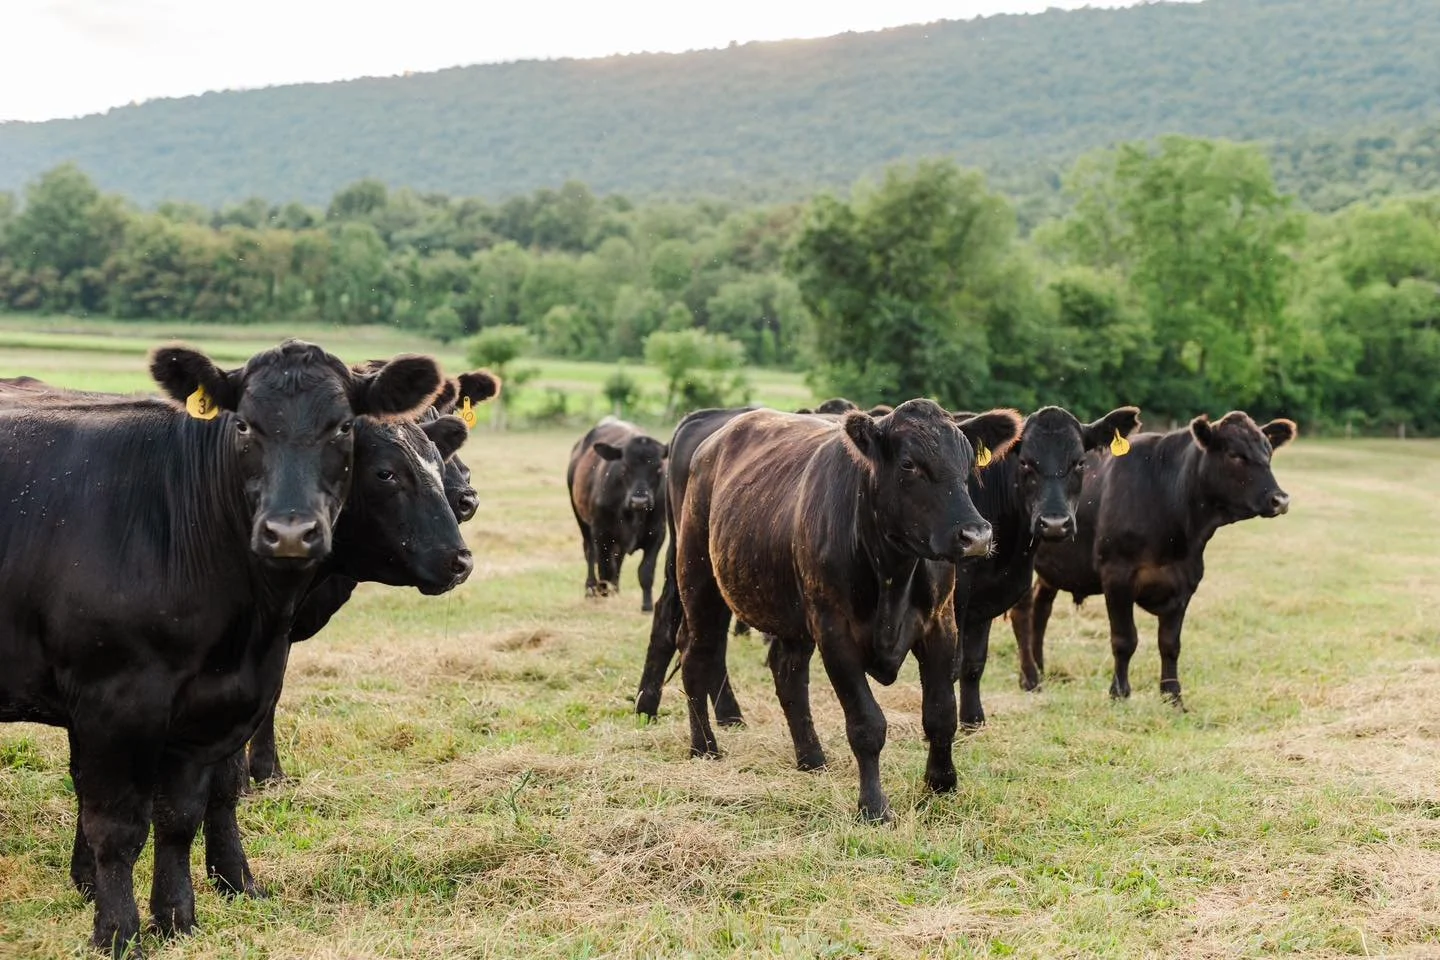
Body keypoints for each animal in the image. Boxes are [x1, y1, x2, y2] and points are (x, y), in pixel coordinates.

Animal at [0, 341, 444, 955]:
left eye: (343, 426)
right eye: (244, 426)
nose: (289, 533)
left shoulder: (216, 703)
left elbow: (182, 814)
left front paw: (179, 918)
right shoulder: (112, 698)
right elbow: (116, 824)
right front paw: (117, 932)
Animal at [567, 417, 667, 611]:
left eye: (659, 468)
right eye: (625, 467)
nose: (639, 501)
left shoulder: (657, 533)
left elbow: (646, 571)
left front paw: (647, 606)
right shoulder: (601, 532)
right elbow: (605, 566)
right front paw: (604, 596)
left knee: (617, 559)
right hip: (582, 520)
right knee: (590, 554)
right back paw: (591, 589)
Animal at [674, 401, 1021, 822]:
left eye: (968, 461)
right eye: (908, 464)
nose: (976, 536)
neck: (893, 570)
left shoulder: (941, 624)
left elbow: (941, 713)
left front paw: (942, 784)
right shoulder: (835, 633)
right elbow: (866, 724)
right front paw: (873, 806)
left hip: (790, 616)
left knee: (787, 673)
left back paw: (811, 758)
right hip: (698, 581)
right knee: (697, 656)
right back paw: (705, 747)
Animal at [952, 406, 1141, 729]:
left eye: (1080, 462)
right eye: (1025, 462)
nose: (1054, 523)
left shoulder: (984, 599)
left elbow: (973, 662)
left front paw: (973, 722)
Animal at [1010, 411, 1296, 708]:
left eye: (1269, 452)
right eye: (1235, 454)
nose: (1280, 499)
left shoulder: (1185, 580)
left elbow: (1170, 644)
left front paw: (1173, 695)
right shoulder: (1117, 576)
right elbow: (1125, 639)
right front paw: (1119, 693)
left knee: (1041, 608)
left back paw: (1040, 668)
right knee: (1022, 612)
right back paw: (1030, 679)